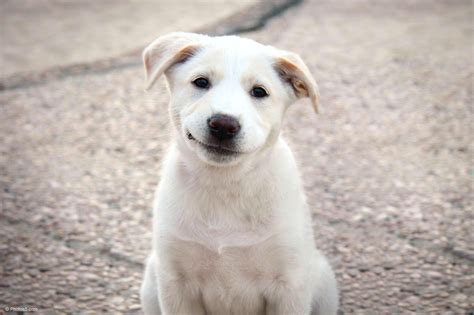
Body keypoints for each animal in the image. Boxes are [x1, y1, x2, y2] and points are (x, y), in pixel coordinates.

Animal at [139, 32, 338, 315]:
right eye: (201, 82)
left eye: (259, 91)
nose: (224, 124)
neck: (225, 184)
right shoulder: (175, 283)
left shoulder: (289, 286)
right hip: (151, 280)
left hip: (323, 280)